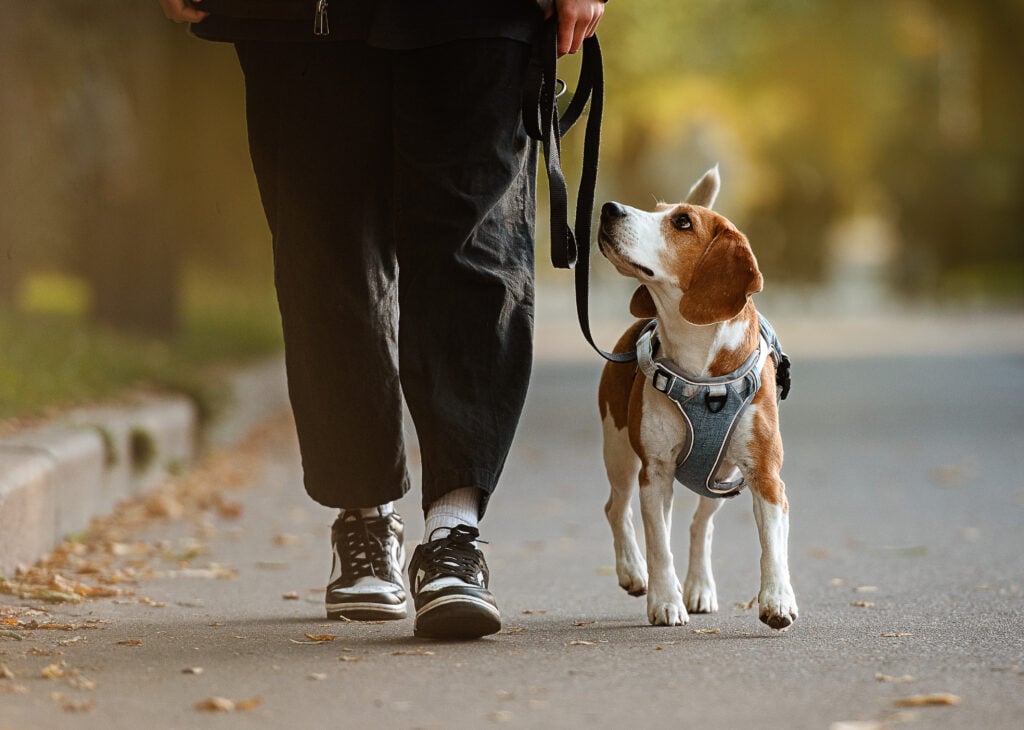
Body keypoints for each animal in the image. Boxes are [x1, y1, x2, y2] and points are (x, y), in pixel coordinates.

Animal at [593, 167, 798, 630]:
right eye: (656, 210)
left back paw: (700, 586)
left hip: (720, 475)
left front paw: (777, 600)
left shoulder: (765, 476)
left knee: (699, 526)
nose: (608, 208)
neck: (699, 364)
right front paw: (665, 602)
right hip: (619, 451)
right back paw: (633, 571)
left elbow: (773, 547)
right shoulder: (655, 472)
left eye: (682, 222)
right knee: (617, 509)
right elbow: (659, 547)